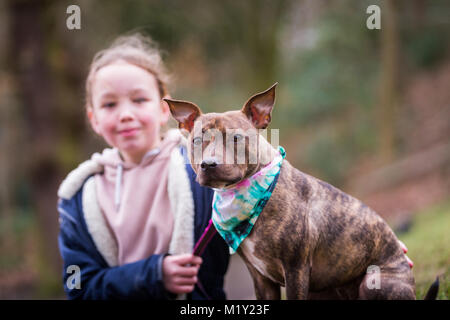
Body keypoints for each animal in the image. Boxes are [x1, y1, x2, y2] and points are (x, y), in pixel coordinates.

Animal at [165, 84, 436, 298]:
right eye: (196, 141)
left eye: (236, 138)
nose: (208, 164)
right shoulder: (261, 278)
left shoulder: (296, 269)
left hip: (373, 281)